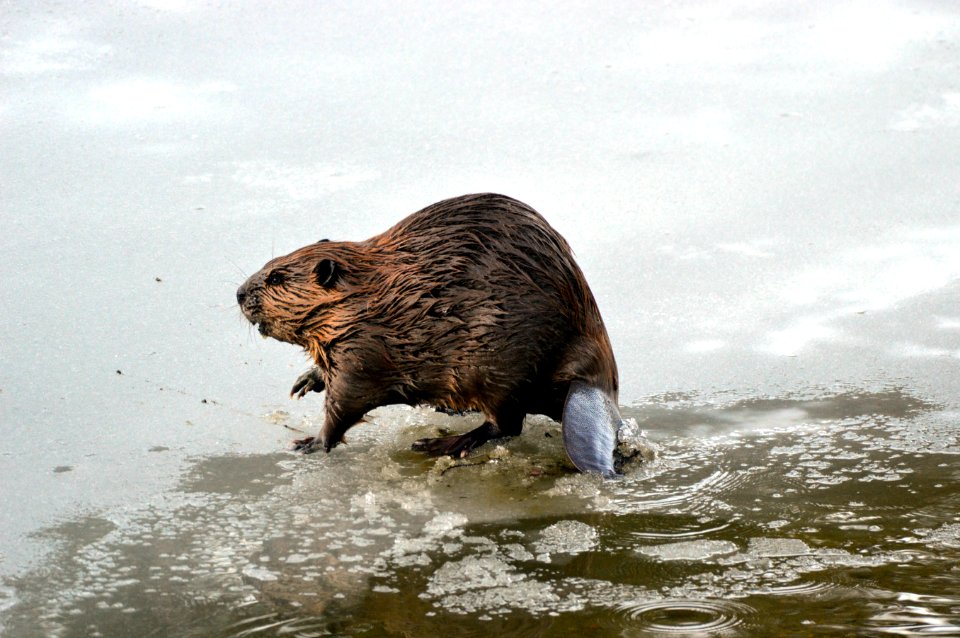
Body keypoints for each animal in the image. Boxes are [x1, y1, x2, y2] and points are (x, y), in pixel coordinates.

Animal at [236, 192, 620, 478]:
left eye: (276, 278)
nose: (239, 293)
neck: (364, 300)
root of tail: (595, 383)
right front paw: (305, 381)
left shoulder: (361, 351)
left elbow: (345, 403)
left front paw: (311, 442)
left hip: (497, 367)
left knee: (506, 424)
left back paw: (439, 444)